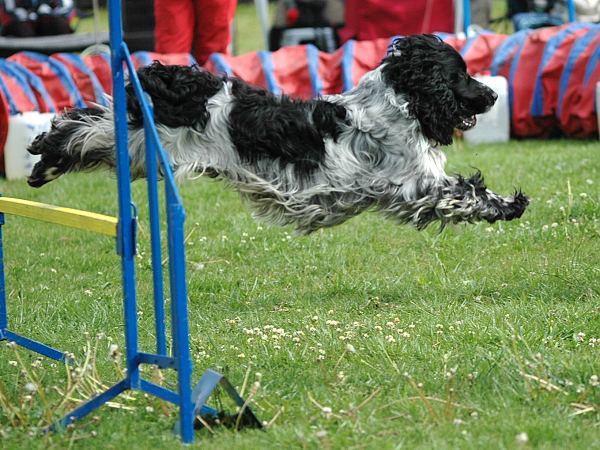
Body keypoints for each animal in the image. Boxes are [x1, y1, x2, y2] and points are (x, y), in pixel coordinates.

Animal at [28, 33, 528, 234]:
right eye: (460, 73)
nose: (492, 94)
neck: (396, 103)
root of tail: (162, 75)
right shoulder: (413, 184)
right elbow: (466, 191)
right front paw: (511, 205)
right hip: (143, 141)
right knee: (82, 128)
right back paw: (41, 157)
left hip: (138, 151)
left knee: (89, 126)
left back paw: (41, 163)